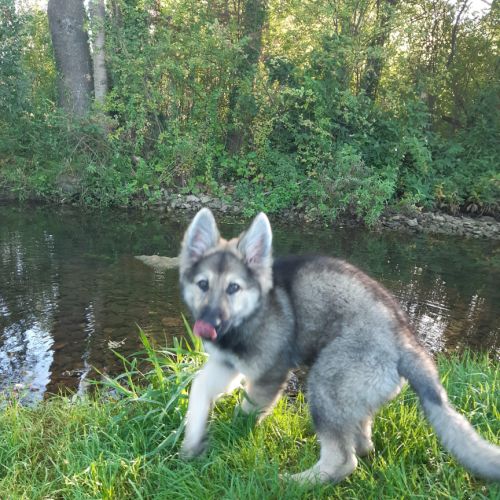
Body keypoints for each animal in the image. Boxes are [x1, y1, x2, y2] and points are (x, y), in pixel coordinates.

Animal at [178, 207, 500, 483]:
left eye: (233, 288)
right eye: (203, 285)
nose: (207, 325)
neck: (253, 311)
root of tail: (406, 342)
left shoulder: (268, 374)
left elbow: (246, 411)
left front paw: (232, 435)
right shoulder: (226, 365)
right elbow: (199, 387)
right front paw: (191, 441)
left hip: (325, 383)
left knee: (343, 460)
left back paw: (293, 482)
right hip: (353, 395)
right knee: (363, 443)